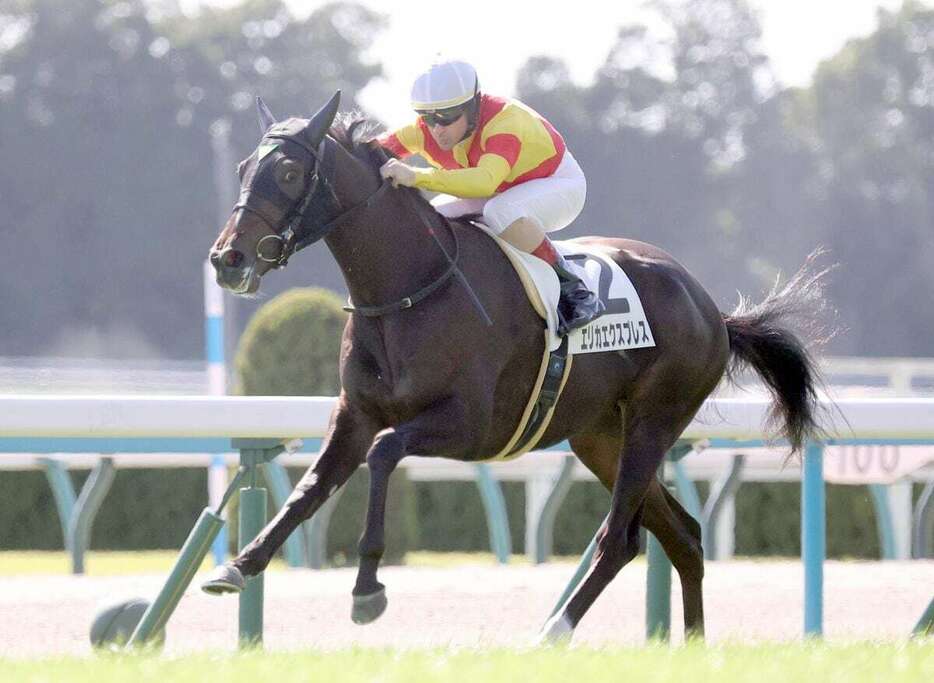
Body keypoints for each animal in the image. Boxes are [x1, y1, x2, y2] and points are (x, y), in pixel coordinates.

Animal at [201, 93, 824, 644]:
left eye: (287, 172)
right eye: (241, 169)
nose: (228, 259)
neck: (410, 289)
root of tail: (711, 308)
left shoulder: (471, 426)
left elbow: (382, 454)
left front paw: (367, 589)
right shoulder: (355, 415)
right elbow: (308, 488)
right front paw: (239, 564)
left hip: (653, 422)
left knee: (621, 539)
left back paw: (555, 629)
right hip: (601, 437)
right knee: (684, 537)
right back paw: (691, 644)